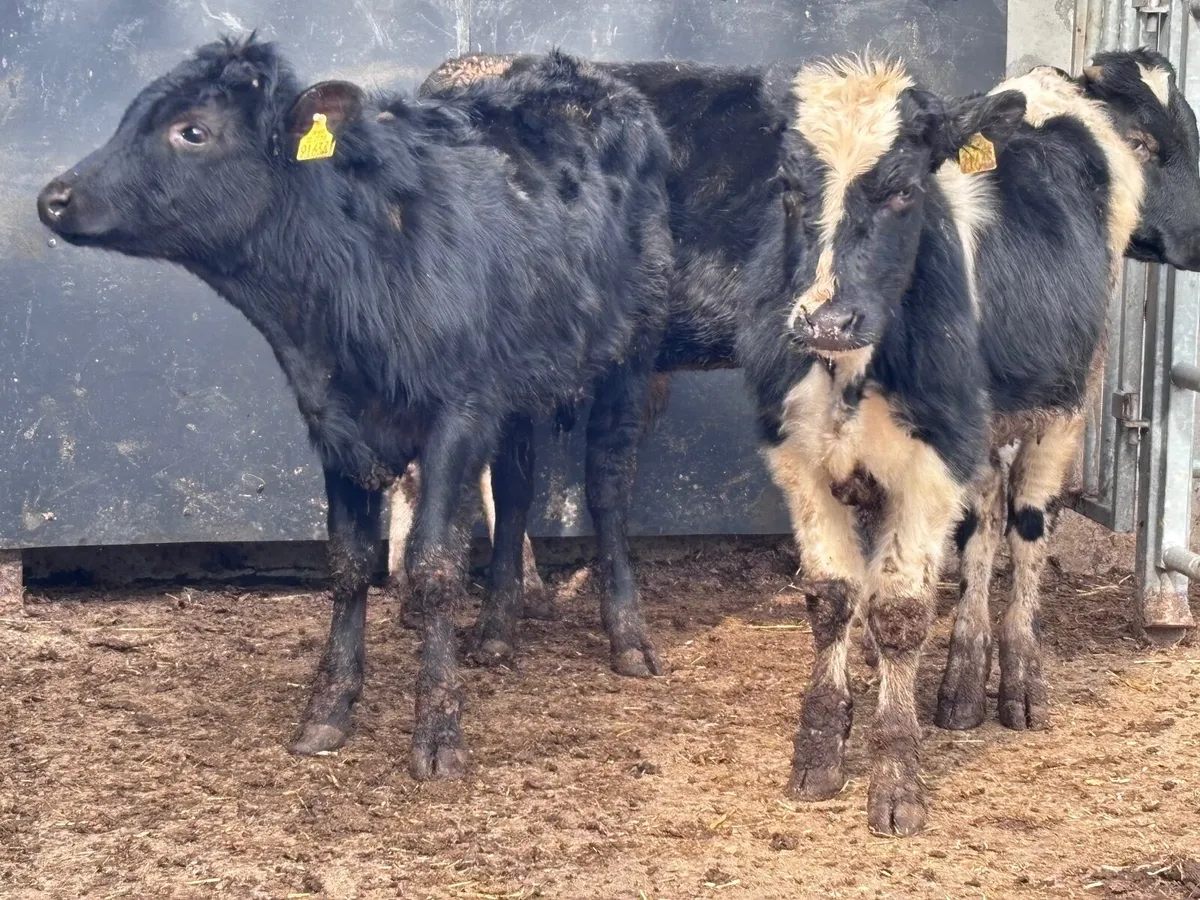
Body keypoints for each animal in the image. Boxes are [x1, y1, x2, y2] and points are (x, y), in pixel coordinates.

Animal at [36, 35, 674, 778]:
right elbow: (346, 563)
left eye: (191, 130)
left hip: (634, 347)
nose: (54, 198)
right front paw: (328, 708)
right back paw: (495, 632)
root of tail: (583, 76)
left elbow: (432, 565)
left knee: (607, 484)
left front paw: (437, 731)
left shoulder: (458, 412)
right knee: (517, 486)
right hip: (520, 377)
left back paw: (627, 637)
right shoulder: (335, 420)